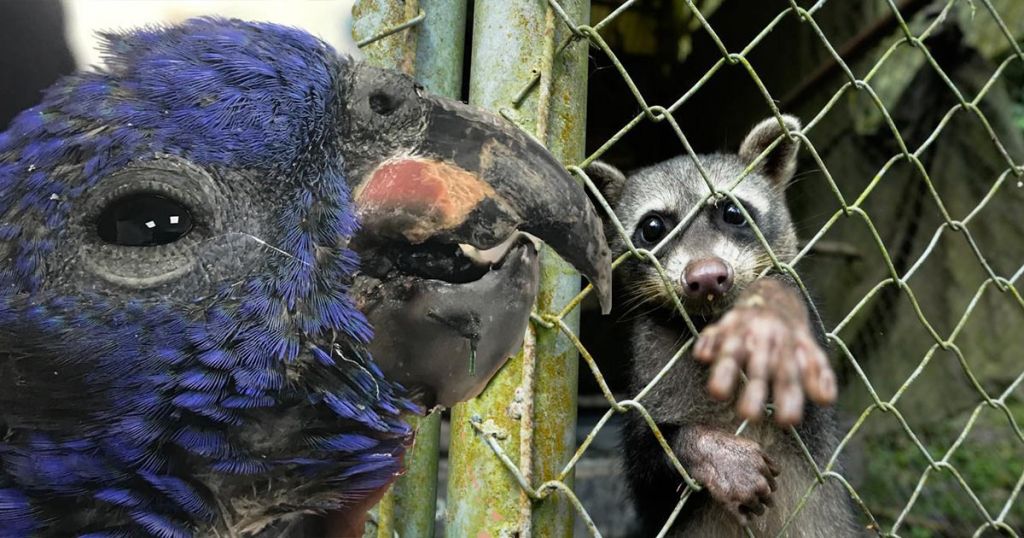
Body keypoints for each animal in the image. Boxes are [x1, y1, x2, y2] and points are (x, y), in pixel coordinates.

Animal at [589, 115, 860, 532]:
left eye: (732, 212)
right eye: (653, 227)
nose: (706, 276)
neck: (710, 327)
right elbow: (646, 466)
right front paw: (707, 448)